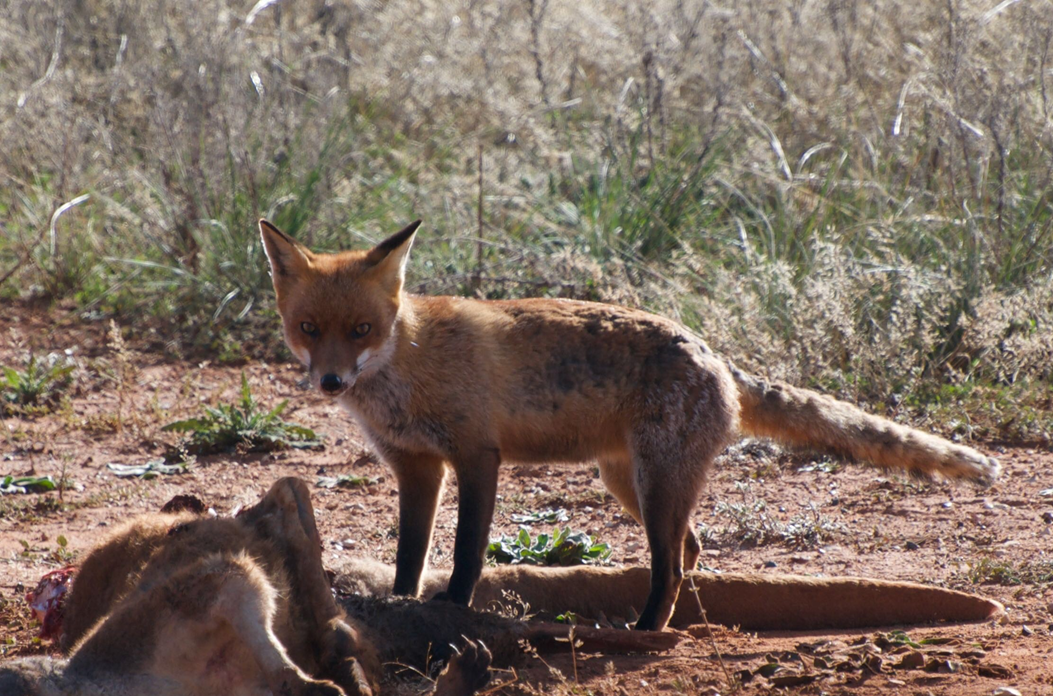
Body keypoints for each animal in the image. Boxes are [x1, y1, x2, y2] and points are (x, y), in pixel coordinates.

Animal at [258, 218, 1001, 632]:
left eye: (361, 330)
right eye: (308, 329)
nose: (330, 382)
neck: (407, 361)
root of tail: (715, 356)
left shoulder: (474, 456)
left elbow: (466, 554)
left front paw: (452, 612)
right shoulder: (416, 467)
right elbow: (409, 558)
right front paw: (404, 607)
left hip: (653, 483)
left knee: (669, 564)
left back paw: (646, 631)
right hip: (630, 482)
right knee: (690, 551)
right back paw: (674, 623)